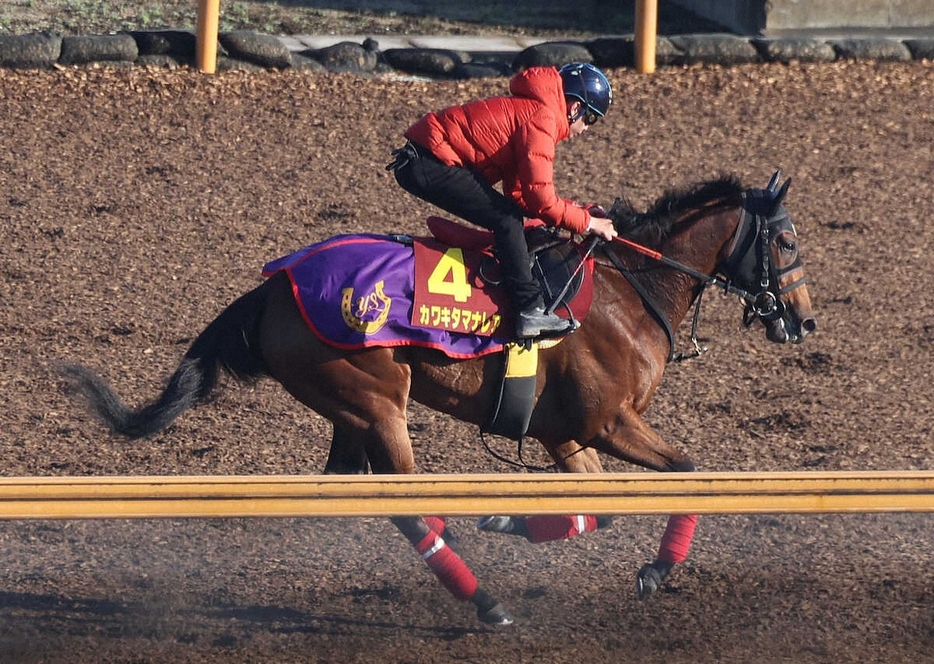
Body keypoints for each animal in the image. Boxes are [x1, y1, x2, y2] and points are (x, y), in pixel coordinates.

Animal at [62, 171, 816, 628]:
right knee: (404, 505)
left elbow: (597, 510)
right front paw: (656, 570)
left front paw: (508, 521)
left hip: (349, 413)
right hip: (377, 404)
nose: (804, 321)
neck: (630, 290)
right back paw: (485, 602)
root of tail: (273, 287)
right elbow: (689, 472)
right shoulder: (608, 422)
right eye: (785, 239)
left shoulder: (565, 433)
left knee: (347, 492)